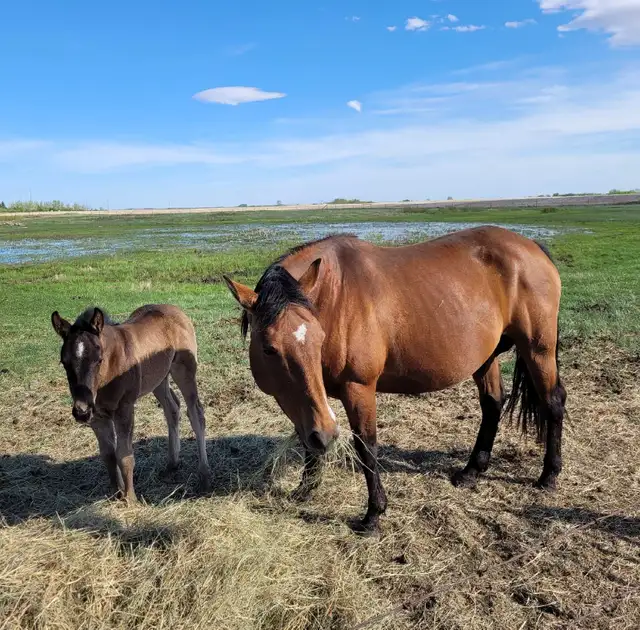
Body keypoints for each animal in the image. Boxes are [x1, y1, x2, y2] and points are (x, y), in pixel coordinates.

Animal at [51, 304, 210, 501]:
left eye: (99, 359)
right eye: (64, 362)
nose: (81, 411)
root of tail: (176, 309)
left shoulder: (124, 409)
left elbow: (124, 455)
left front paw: (131, 500)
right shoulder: (97, 416)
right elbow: (108, 455)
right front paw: (116, 494)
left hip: (184, 370)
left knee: (196, 413)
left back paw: (204, 476)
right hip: (158, 379)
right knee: (172, 408)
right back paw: (172, 464)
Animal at [224, 226, 567, 535]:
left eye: (319, 338)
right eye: (269, 348)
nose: (329, 435)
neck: (335, 295)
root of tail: (531, 247)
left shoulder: (358, 389)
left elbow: (366, 446)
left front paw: (373, 515)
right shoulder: (309, 404)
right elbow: (309, 440)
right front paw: (306, 489)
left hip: (538, 349)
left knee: (553, 402)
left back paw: (549, 475)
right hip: (487, 357)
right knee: (493, 404)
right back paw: (471, 471)